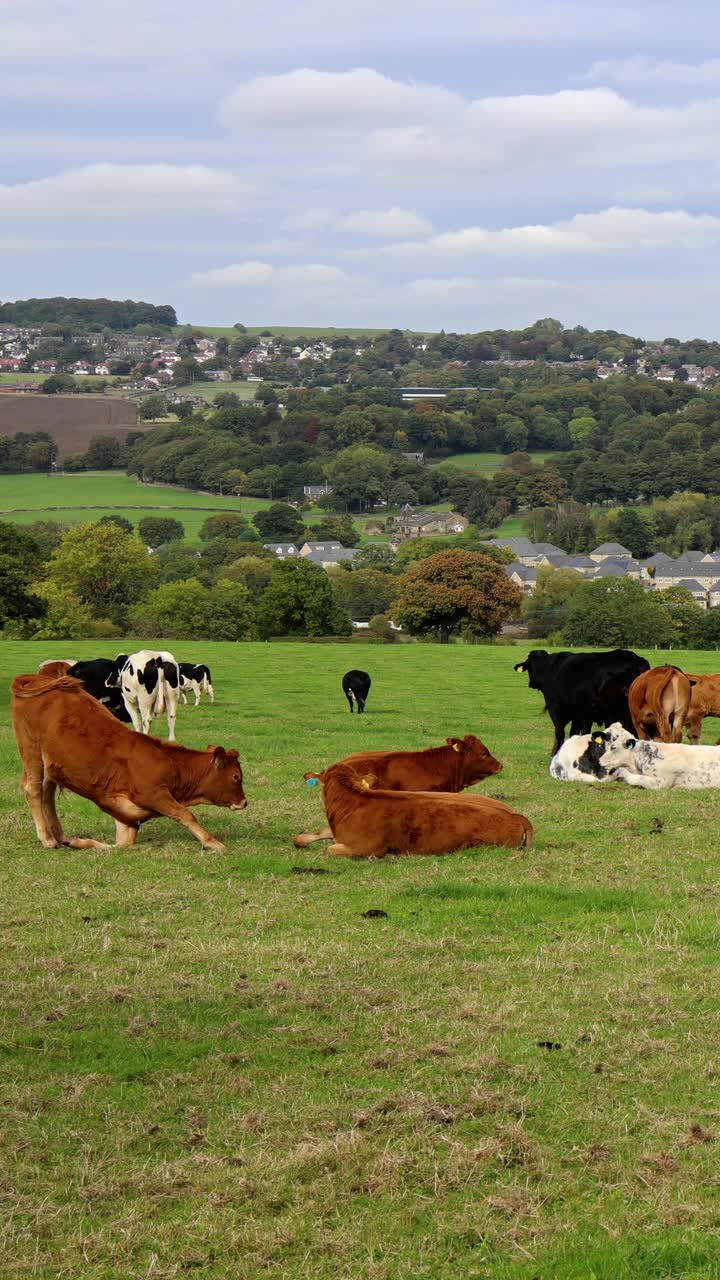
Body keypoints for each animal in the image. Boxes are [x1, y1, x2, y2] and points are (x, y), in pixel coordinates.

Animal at [10, 670, 245, 849]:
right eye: (236, 776)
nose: (244, 802)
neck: (171, 764)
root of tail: (36, 679)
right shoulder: (154, 794)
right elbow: (185, 814)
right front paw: (213, 843)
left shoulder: (127, 818)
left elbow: (118, 846)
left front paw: (79, 842)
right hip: (31, 750)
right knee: (33, 789)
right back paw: (47, 839)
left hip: (51, 763)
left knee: (47, 794)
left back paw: (59, 836)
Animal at [512, 645, 648, 752]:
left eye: (529, 667)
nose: (531, 683)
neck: (549, 668)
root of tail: (634, 660)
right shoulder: (579, 714)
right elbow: (575, 732)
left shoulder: (555, 709)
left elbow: (560, 733)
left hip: (613, 714)